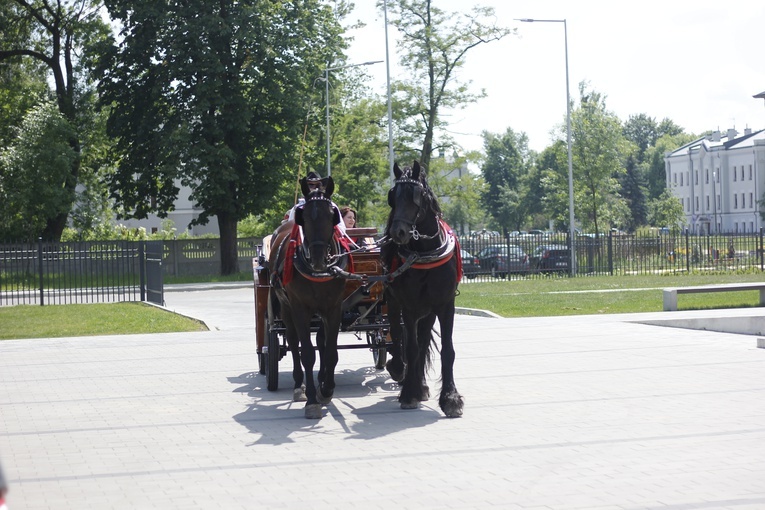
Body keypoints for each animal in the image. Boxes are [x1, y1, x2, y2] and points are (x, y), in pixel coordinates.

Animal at [266, 175, 344, 418]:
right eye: (306, 216)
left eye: (331, 215)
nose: (318, 259)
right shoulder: (299, 308)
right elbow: (307, 353)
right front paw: (311, 400)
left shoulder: (333, 309)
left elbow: (330, 352)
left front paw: (326, 390)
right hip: (285, 307)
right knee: (293, 342)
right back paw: (298, 385)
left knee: (320, 341)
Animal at [382, 161, 466, 416]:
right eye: (393, 196)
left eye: (415, 195)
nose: (397, 232)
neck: (426, 253)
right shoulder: (408, 307)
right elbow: (411, 347)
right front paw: (409, 393)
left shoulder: (446, 305)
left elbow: (447, 350)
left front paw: (450, 397)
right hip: (394, 304)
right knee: (398, 336)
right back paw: (401, 371)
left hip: (428, 312)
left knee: (423, 338)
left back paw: (421, 384)